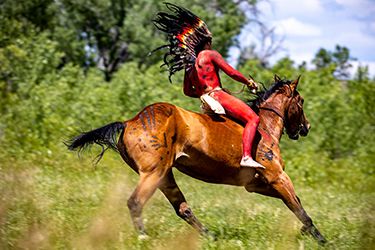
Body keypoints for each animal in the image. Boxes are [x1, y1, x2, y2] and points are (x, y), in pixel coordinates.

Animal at [66, 76, 328, 244]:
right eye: (301, 101)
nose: (306, 127)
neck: (264, 126)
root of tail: (130, 122)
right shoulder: (277, 177)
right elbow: (299, 207)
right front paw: (320, 238)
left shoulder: (257, 184)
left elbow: (295, 202)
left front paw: (307, 232)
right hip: (153, 173)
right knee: (136, 202)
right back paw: (143, 237)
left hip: (165, 175)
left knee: (183, 209)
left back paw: (210, 236)